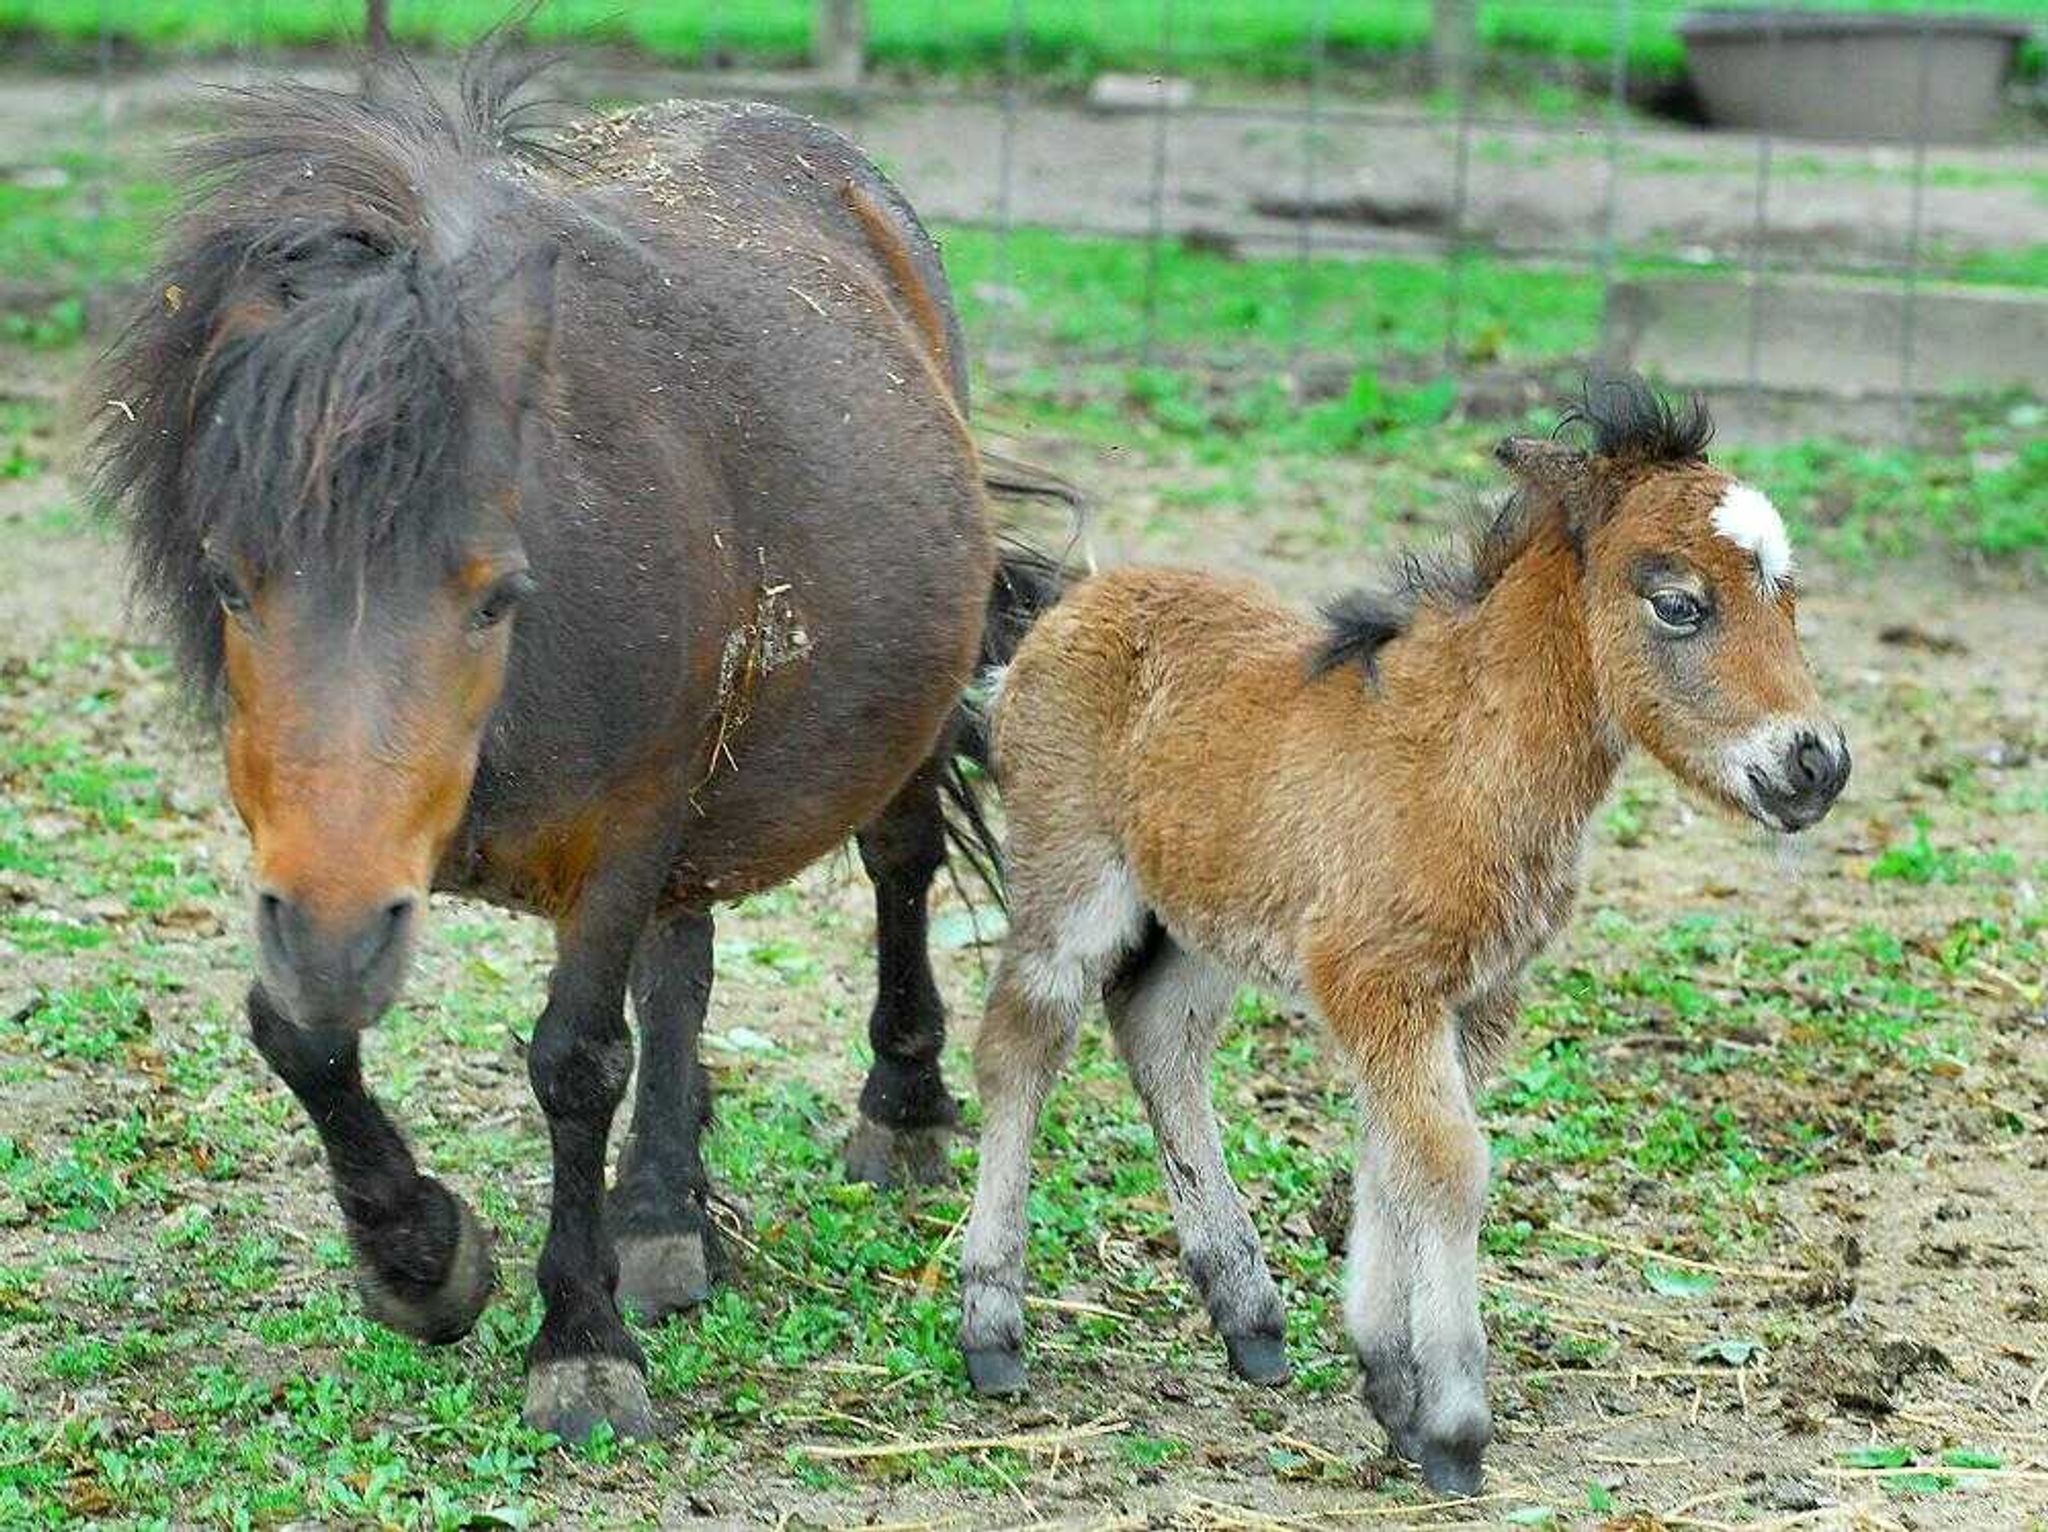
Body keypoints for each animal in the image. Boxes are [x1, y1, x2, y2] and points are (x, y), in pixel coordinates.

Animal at [92, 56, 1056, 1450]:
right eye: (228, 581)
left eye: (496, 595)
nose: (339, 933)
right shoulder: (305, 854)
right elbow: (300, 1034)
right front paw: (421, 1257)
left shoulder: (626, 822)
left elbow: (574, 1060)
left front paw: (580, 1340)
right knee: (684, 967)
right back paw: (660, 1212)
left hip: (884, 722)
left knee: (898, 862)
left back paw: (897, 1107)